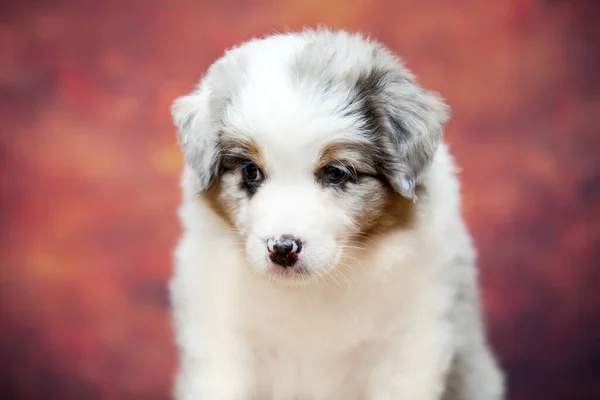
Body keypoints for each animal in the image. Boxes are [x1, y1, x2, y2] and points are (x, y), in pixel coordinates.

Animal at [169, 28, 506, 400]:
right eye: (250, 171)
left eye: (335, 172)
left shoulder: (410, 347)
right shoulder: (221, 344)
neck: (315, 290)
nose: (282, 249)